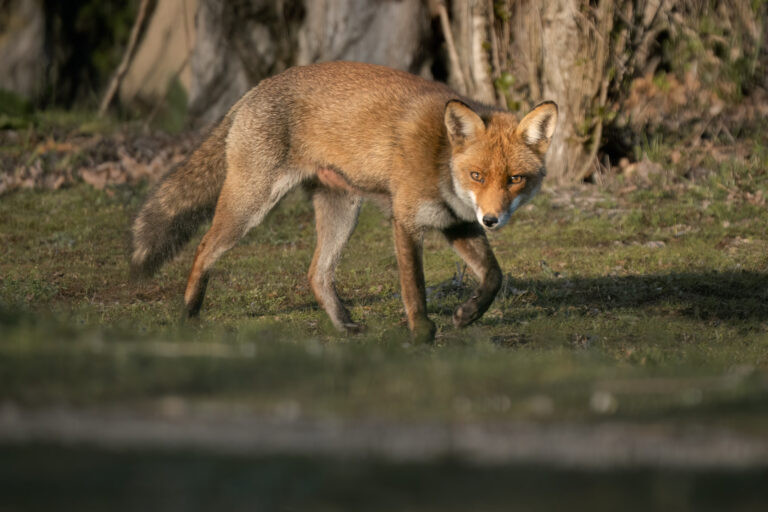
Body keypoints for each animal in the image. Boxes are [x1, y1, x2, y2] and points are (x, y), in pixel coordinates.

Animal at [131, 61, 558, 342]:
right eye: (477, 176)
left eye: (514, 179)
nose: (492, 219)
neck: (440, 156)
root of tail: (257, 88)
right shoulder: (406, 220)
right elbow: (414, 288)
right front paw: (421, 333)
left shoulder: (457, 223)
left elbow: (494, 276)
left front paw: (467, 314)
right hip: (251, 205)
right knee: (204, 247)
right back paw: (189, 313)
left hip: (342, 210)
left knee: (316, 273)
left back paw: (344, 325)